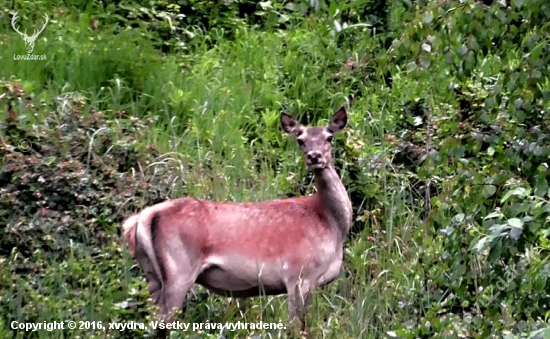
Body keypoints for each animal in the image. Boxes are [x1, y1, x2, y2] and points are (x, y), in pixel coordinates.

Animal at [122, 107, 354, 334]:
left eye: (329, 137)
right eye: (301, 139)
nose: (314, 157)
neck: (330, 225)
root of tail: (139, 219)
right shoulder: (298, 274)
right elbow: (297, 328)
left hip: (152, 275)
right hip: (178, 271)